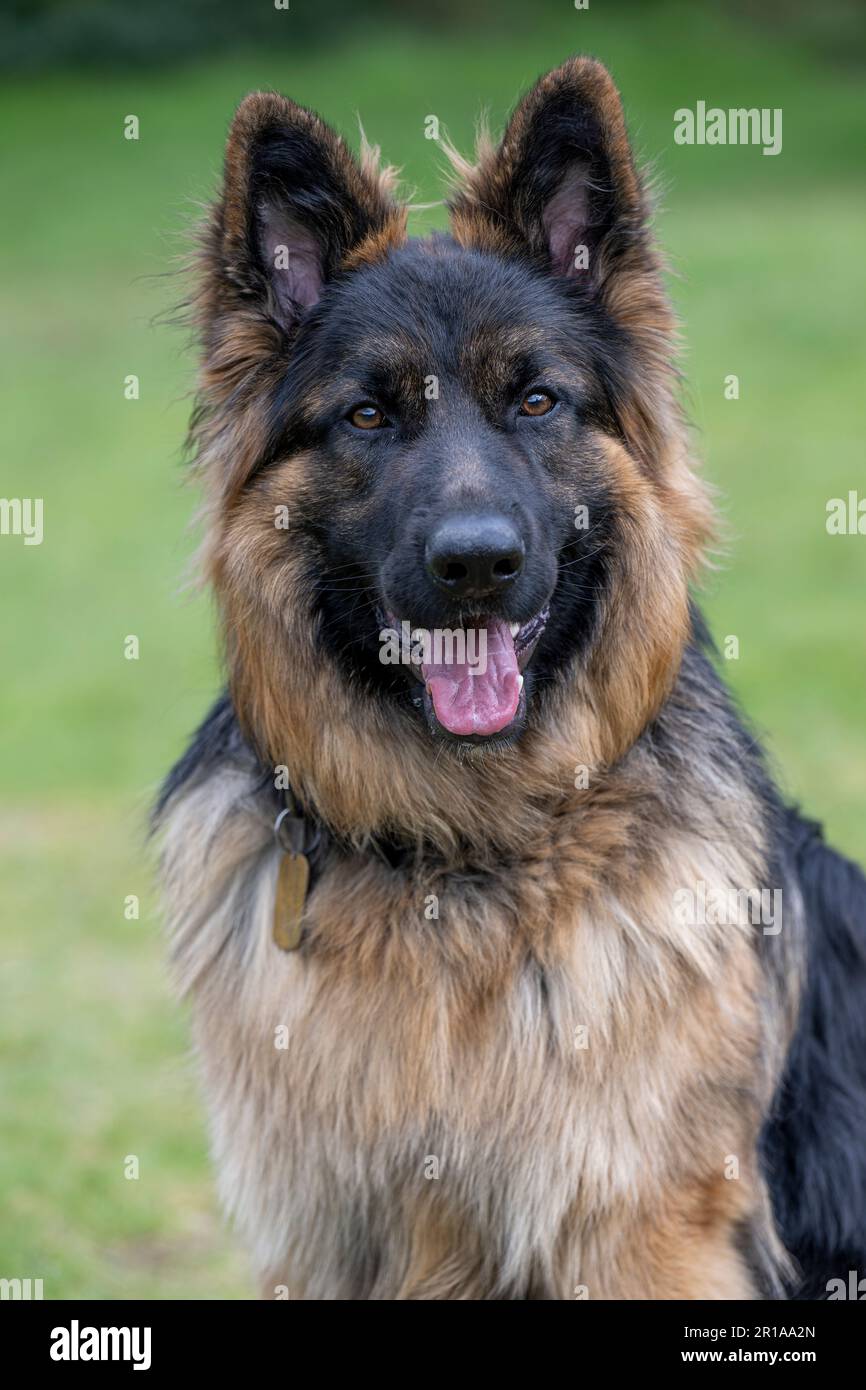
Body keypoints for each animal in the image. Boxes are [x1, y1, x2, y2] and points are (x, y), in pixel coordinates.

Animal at [155, 59, 866, 1295]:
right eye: (368, 413)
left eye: (536, 400)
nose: (476, 563)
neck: (460, 854)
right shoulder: (323, 1238)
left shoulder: (641, 1231)